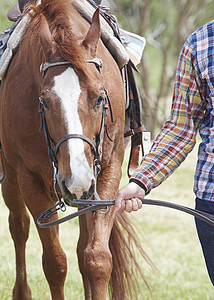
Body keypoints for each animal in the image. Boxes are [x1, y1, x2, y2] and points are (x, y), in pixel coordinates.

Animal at [0, 1, 150, 298]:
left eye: (100, 97)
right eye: (44, 102)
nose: (76, 179)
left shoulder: (107, 171)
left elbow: (97, 259)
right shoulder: (29, 179)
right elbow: (55, 264)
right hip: (11, 177)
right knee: (19, 227)